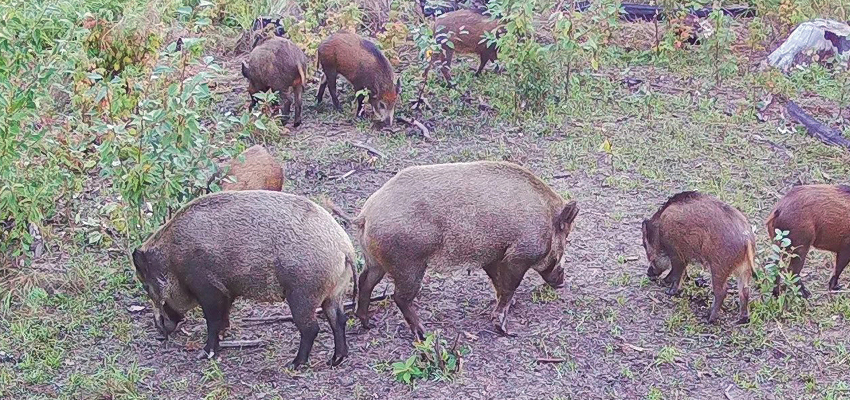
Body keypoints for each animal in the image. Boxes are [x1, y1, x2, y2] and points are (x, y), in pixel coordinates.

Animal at [131, 191, 357, 368]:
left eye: (146, 287)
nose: (159, 331)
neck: (173, 260)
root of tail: (345, 249)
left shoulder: (208, 288)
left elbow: (212, 321)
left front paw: (205, 353)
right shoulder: (226, 291)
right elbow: (223, 318)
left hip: (303, 294)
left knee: (311, 328)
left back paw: (294, 364)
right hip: (334, 293)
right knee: (339, 320)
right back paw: (335, 360)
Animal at [330, 161, 578, 338]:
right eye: (565, 237)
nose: (562, 282)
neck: (546, 220)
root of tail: (365, 215)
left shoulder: (493, 255)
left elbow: (498, 282)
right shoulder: (517, 256)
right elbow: (509, 286)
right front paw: (504, 327)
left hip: (376, 260)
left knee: (366, 282)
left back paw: (367, 323)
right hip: (409, 263)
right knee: (399, 296)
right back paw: (423, 333)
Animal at [642, 191, 754, 324]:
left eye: (645, 246)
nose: (648, 273)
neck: (659, 232)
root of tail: (746, 239)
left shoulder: (676, 253)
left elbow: (677, 273)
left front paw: (669, 292)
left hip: (719, 267)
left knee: (722, 292)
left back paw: (709, 318)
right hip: (744, 269)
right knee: (745, 291)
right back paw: (742, 319)